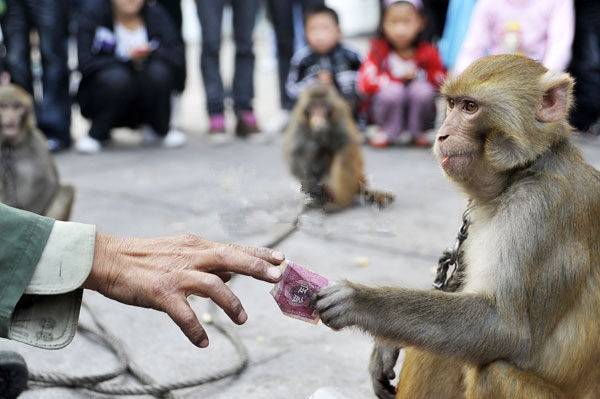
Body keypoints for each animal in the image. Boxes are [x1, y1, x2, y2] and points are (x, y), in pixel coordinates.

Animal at [0, 85, 75, 222]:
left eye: (16, 107)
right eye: (4, 107)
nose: (11, 117)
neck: (10, 146)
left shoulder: (37, 140)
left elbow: (49, 182)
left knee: (66, 190)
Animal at [314, 54, 600, 398]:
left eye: (470, 107)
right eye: (451, 105)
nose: (442, 135)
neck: (525, 169)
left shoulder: (538, 209)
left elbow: (505, 327)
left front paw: (358, 301)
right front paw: (385, 345)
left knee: (492, 369)